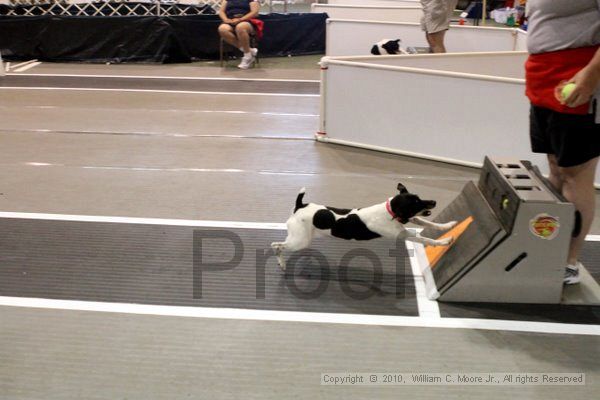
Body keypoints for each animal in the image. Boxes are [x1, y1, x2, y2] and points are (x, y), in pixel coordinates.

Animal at [270, 184, 458, 268]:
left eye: (419, 197)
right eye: (415, 203)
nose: (434, 202)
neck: (389, 211)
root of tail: (299, 206)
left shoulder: (409, 220)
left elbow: (428, 223)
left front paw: (448, 224)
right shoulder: (403, 234)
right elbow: (424, 238)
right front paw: (444, 241)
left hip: (301, 239)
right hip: (299, 241)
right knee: (276, 245)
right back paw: (281, 262)